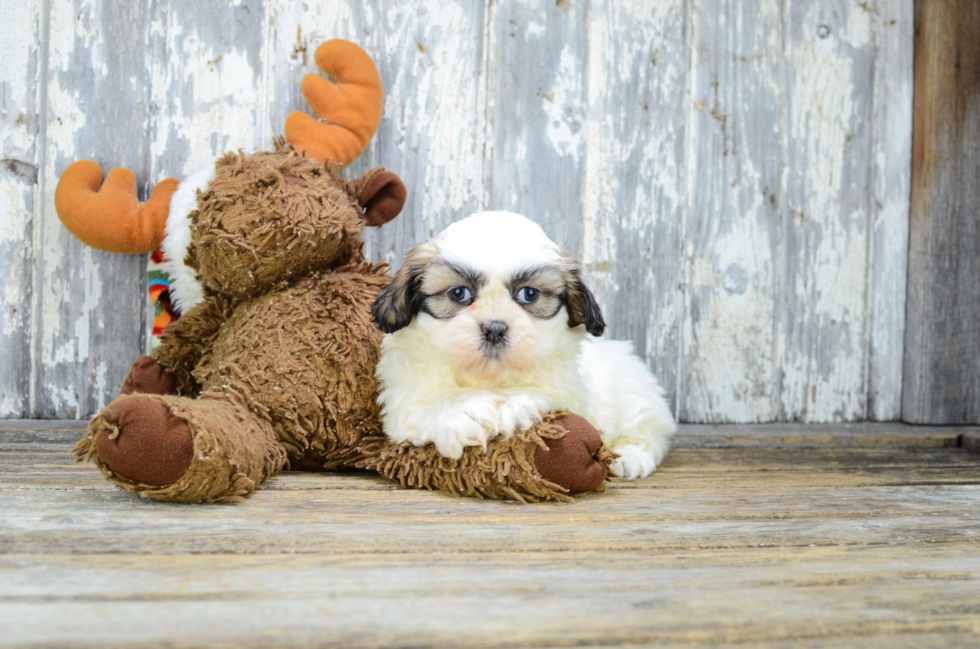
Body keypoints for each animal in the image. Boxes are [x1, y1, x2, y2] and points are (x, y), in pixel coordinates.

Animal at [372, 210, 676, 478]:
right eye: (459, 293)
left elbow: (537, 395)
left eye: (529, 294)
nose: (494, 329)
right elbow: (428, 407)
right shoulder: (404, 401)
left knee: (648, 429)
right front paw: (470, 410)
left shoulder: (566, 391)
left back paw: (629, 457)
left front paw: (510, 406)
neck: (488, 378)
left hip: (634, 395)